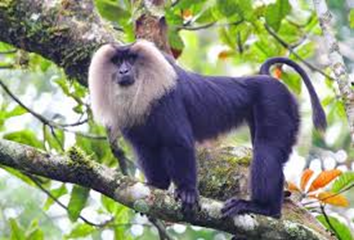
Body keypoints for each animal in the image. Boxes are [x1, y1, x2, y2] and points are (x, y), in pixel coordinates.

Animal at [88, 39, 326, 219]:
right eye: (117, 61)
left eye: (131, 59)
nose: (123, 71)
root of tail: (269, 80)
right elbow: (146, 149)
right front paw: (156, 185)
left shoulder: (167, 98)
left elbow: (179, 141)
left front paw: (187, 192)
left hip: (276, 105)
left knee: (267, 151)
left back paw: (263, 208)